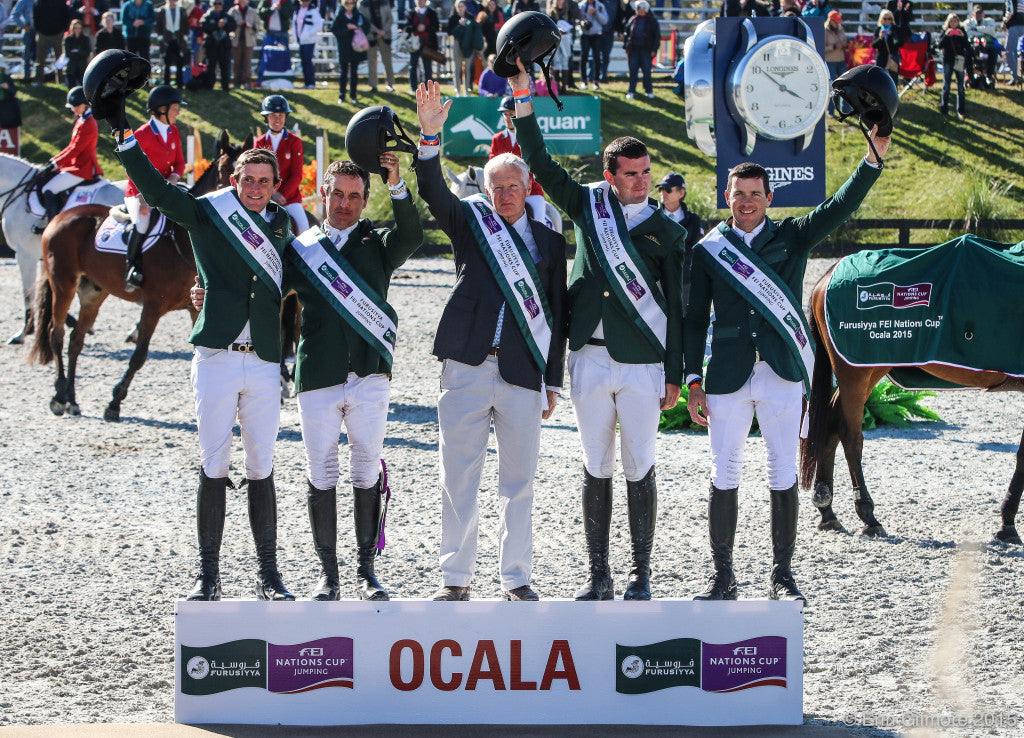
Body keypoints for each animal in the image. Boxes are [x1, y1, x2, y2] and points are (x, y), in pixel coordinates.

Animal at [28, 131, 251, 419]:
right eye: (225, 169)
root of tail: (60, 216)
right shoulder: (153, 306)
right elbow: (139, 355)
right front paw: (114, 402)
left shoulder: (196, 309)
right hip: (63, 284)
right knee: (56, 335)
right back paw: (59, 396)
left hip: (92, 293)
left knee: (76, 340)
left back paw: (72, 399)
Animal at [798, 255, 1024, 544]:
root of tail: (828, 276)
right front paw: (1008, 523)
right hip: (857, 372)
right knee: (850, 435)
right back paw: (868, 515)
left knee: (831, 425)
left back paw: (827, 511)